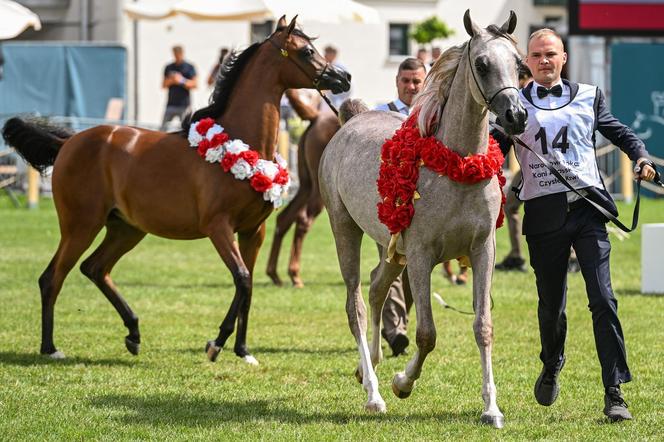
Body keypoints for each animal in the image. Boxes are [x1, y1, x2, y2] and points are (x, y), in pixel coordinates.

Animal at [264, 90, 340, 290]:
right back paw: (294, 274)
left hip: (306, 185)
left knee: (285, 218)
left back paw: (275, 274)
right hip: (319, 189)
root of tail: (317, 115)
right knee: (303, 220)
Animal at [320, 11, 528, 428]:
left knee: (376, 287)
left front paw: (491, 409)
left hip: (390, 246)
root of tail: (350, 121)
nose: (516, 116)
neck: (457, 166)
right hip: (345, 230)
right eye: (482, 63)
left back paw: (368, 367)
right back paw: (374, 393)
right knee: (356, 305)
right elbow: (427, 334)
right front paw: (402, 383)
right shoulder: (420, 256)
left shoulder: (483, 252)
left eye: (519, 63)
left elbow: (483, 326)